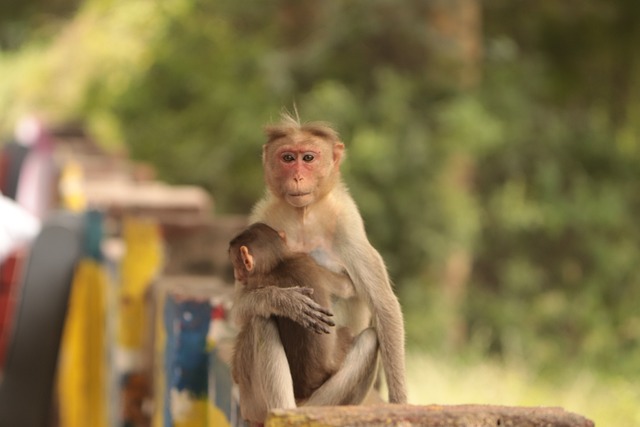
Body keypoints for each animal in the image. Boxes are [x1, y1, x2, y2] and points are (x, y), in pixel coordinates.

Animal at [232, 113, 408, 424]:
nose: (297, 176)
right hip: (252, 400)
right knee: (259, 322)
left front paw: (400, 404)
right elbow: (239, 309)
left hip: (326, 398)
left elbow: (383, 305)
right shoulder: (261, 216)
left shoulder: (348, 224)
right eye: (288, 158)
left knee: (369, 339)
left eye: (309, 158)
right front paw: (284, 300)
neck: (304, 214)